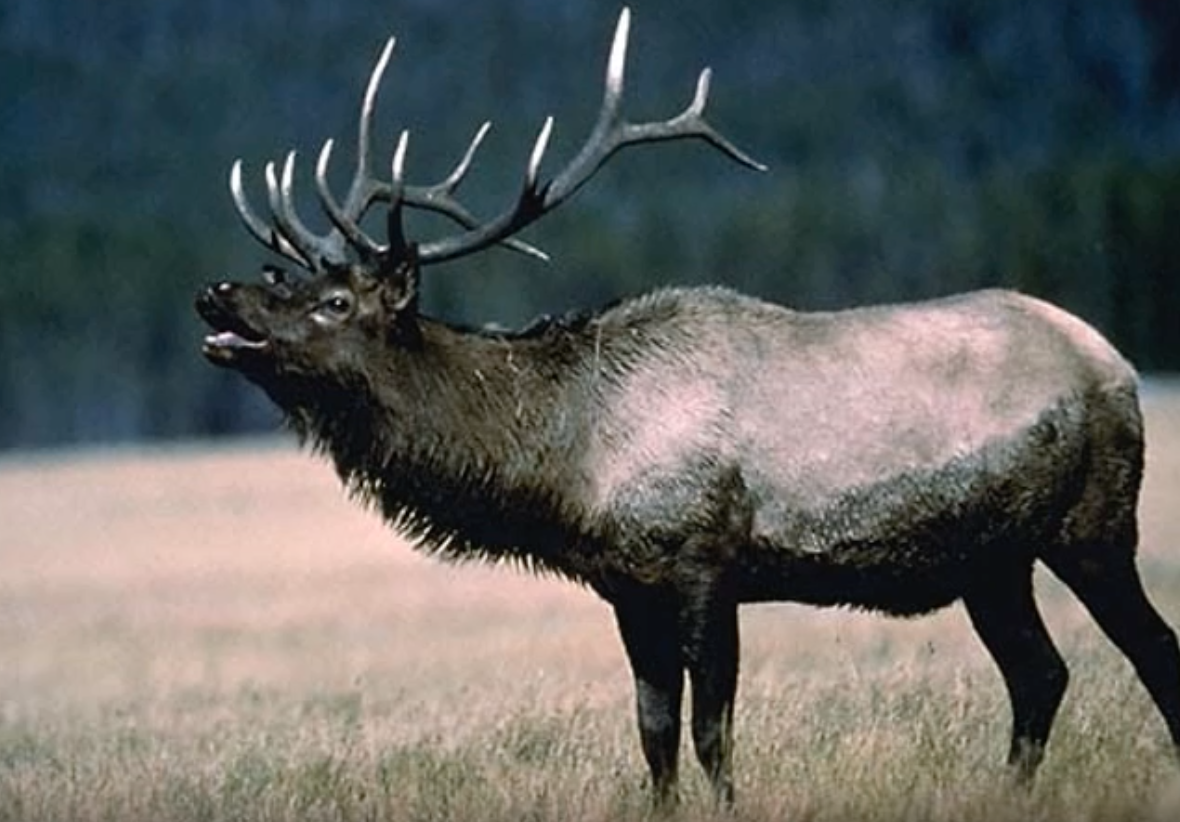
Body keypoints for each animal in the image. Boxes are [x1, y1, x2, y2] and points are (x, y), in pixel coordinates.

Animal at [196, 7, 1180, 809]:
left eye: (334, 301)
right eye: (288, 279)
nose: (216, 293)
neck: (569, 458)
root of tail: (1114, 361)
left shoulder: (707, 561)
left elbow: (712, 733)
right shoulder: (626, 585)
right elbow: (656, 735)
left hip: (1093, 524)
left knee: (1146, 651)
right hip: (992, 560)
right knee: (1041, 674)